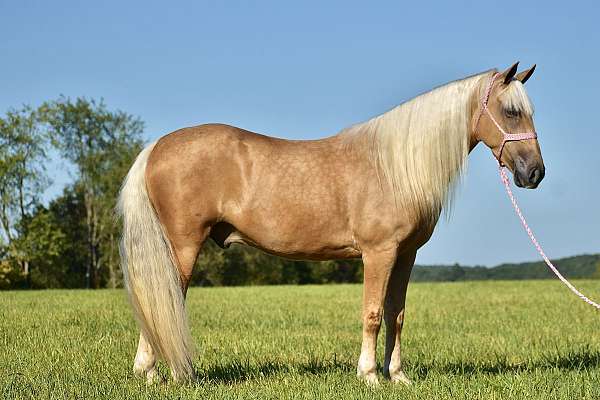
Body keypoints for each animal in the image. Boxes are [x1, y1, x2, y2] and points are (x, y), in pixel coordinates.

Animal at [116, 62, 544, 384]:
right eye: (511, 111)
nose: (534, 173)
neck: (394, 167)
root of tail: (157, 147)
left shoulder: (405, 255)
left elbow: (396, 314)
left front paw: (398, 376)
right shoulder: (378, 253)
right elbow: (373, 313)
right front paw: (369, 376)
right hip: (183, 245)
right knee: (165, 298)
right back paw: (163, 372)